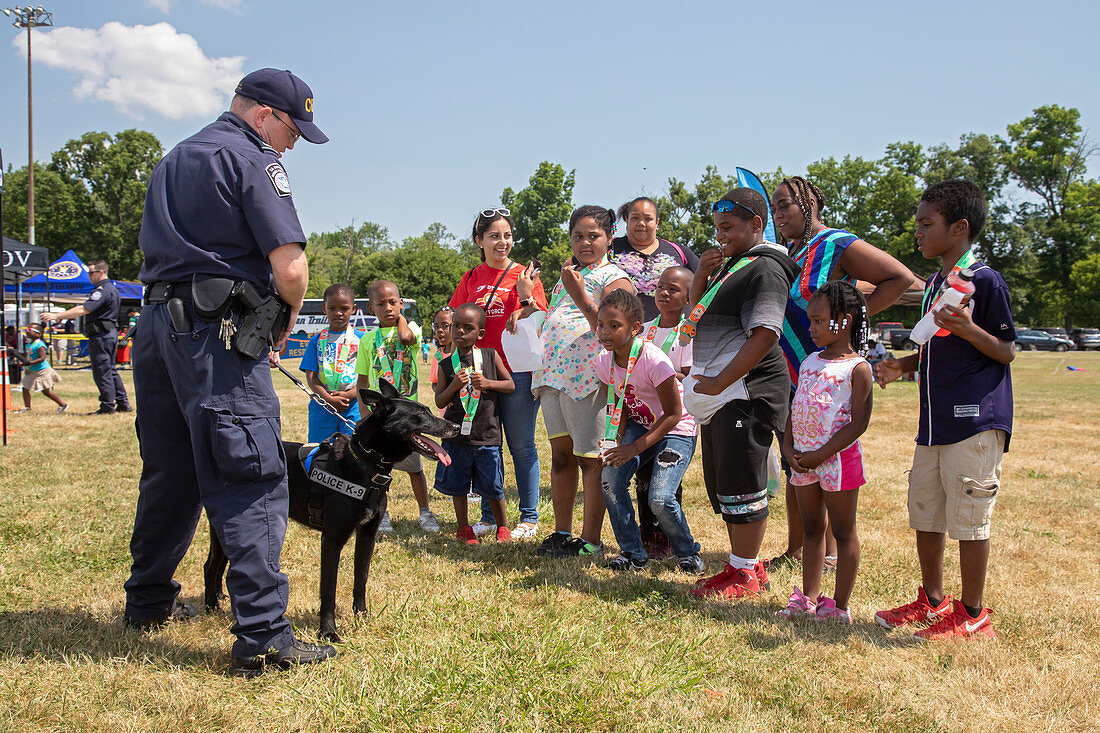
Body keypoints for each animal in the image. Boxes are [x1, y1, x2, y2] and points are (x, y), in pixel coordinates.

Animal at [204, 376, 457, 638]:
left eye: (428, 410)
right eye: (421, 414)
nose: (456, 427)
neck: (364, 462)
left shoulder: (367, 536)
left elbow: (360, 578)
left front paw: (362, 616)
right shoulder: (331, 539)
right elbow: (329, 589)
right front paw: (328, 631)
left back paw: (221, 597)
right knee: (210, 566)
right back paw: (211, 606)